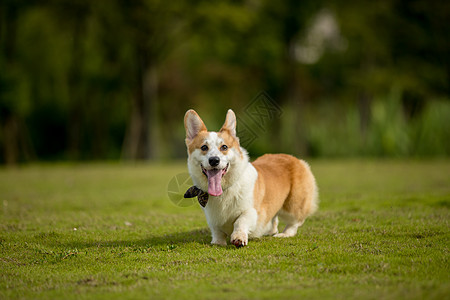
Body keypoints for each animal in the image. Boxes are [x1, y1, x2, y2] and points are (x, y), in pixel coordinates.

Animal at [183, 109, 316, 247]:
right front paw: (218, 242)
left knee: (294, 222)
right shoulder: (212, 218)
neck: (225, 189)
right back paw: (271, 231)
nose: (214, 160)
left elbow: (240, 221)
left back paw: (284, 234)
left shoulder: (251, 211)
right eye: (204, 147)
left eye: (224, 147)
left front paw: (238, 237)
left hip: (293, 205)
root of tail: (296, 159)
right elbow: (217, 230)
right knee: (274, 218)